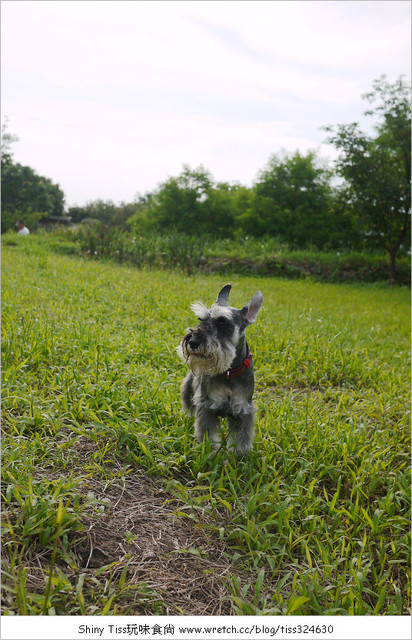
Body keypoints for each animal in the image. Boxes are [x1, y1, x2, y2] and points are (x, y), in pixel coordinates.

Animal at [177, 284, 264, 456]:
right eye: (201, 319)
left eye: (223, 322)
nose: (193, 341)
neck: (229, 372)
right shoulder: (206, 405)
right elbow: (207, 434)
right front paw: (209, 453)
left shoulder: (243, 410)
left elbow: (241, 439)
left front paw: (239, 456)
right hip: (189, 386)